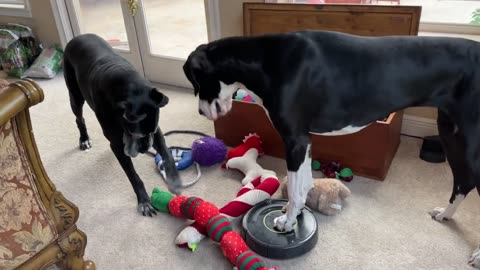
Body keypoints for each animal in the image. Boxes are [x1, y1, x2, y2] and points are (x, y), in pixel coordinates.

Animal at [63, 33, 182, 216]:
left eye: (151, 133)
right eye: (136, 134)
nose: (145, 149)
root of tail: (77, 37)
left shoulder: (156, 130)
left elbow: (167, 154)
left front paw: (174, 180)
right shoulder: (118, 144)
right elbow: (133, 175)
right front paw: (144, 201)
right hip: (75, 95)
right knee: (79, 118)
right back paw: (84, 139)